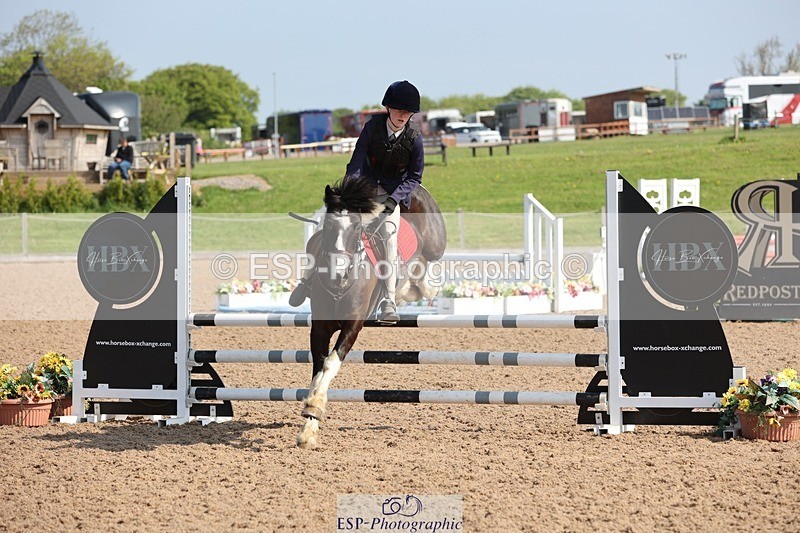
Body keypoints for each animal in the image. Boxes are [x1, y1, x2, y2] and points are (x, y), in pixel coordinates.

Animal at [296, 177, 446, 448]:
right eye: (328, 226)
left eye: (356, 228)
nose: (337, 275)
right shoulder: (320, 328)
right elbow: (318, 368)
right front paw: (309, 428)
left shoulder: (353, 325)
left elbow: (330, 364)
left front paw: (314, 408)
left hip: (434, 244)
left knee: (427, 267)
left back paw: (411, 291)